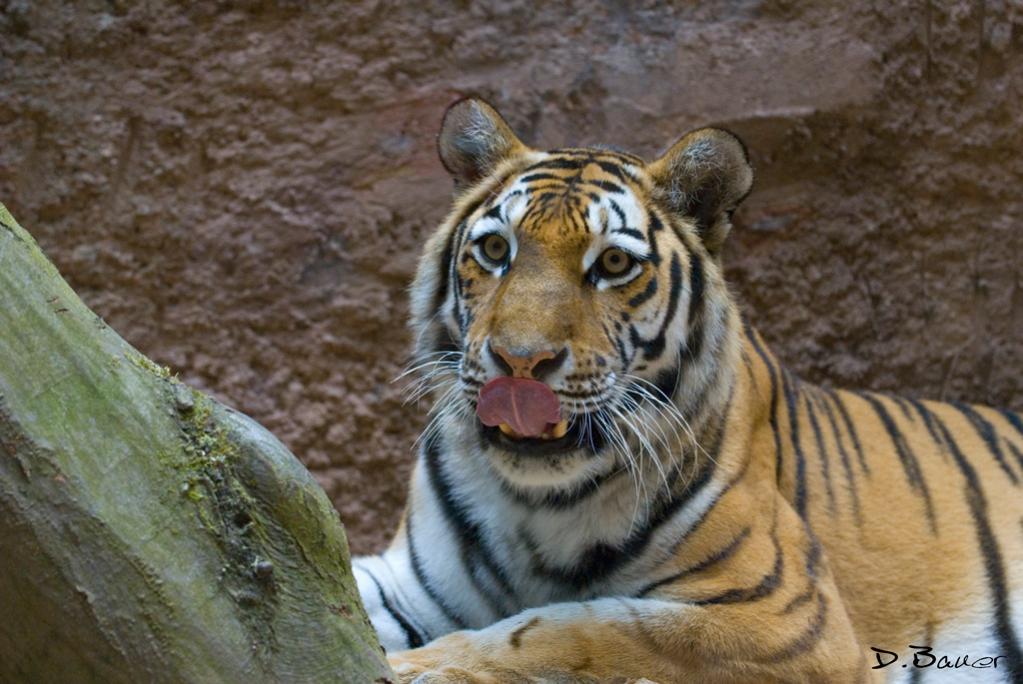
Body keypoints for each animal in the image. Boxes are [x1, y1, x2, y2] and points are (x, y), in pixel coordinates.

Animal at [351, 97, 1023, 683]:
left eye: (613, 264)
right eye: (495, 249)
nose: (520, 359)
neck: (537, 505)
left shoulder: (788, 621)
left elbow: (571, 629)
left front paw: (422, 666)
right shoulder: (407, 583)